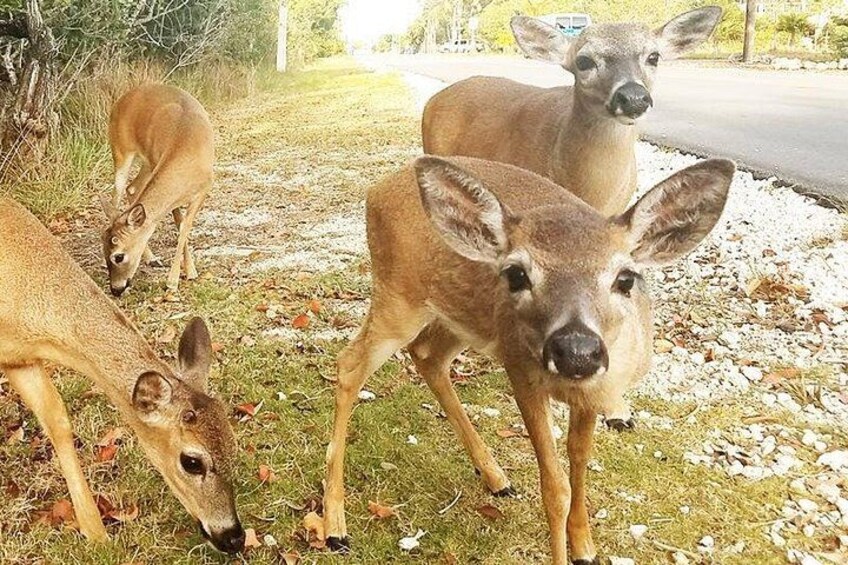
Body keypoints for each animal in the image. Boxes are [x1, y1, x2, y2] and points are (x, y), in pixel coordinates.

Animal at [0, 198, 245, 553]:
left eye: (233, 445)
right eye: (191, 461)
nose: (233, 536)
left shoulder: (20, 359)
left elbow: (58, 421)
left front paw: (95, 531)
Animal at [99, 83, 214, 296]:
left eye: (118, 256)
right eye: (103, 251)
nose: (116, 289)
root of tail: (121, 99)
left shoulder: (204, 188)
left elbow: (183, 226)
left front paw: (184, 275)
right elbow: (179, 221)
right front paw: (176, 279)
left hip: (146, 162)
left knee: (132, 188)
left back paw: (153, 259)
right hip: (121, 150)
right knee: (118, 196)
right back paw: (151, 258)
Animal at [321, 155, 735, 564]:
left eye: (626, 278)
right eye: (517, 274)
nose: (576, 351)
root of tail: (376, 190)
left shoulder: (593, 392)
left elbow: (580, 457)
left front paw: (584, 545)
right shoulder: (521, 371)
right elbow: (555, 487)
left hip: (465, 319)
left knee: (427, 355)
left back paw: (496, 478)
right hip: (398, 297)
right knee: (349, 364)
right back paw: (335, 525)